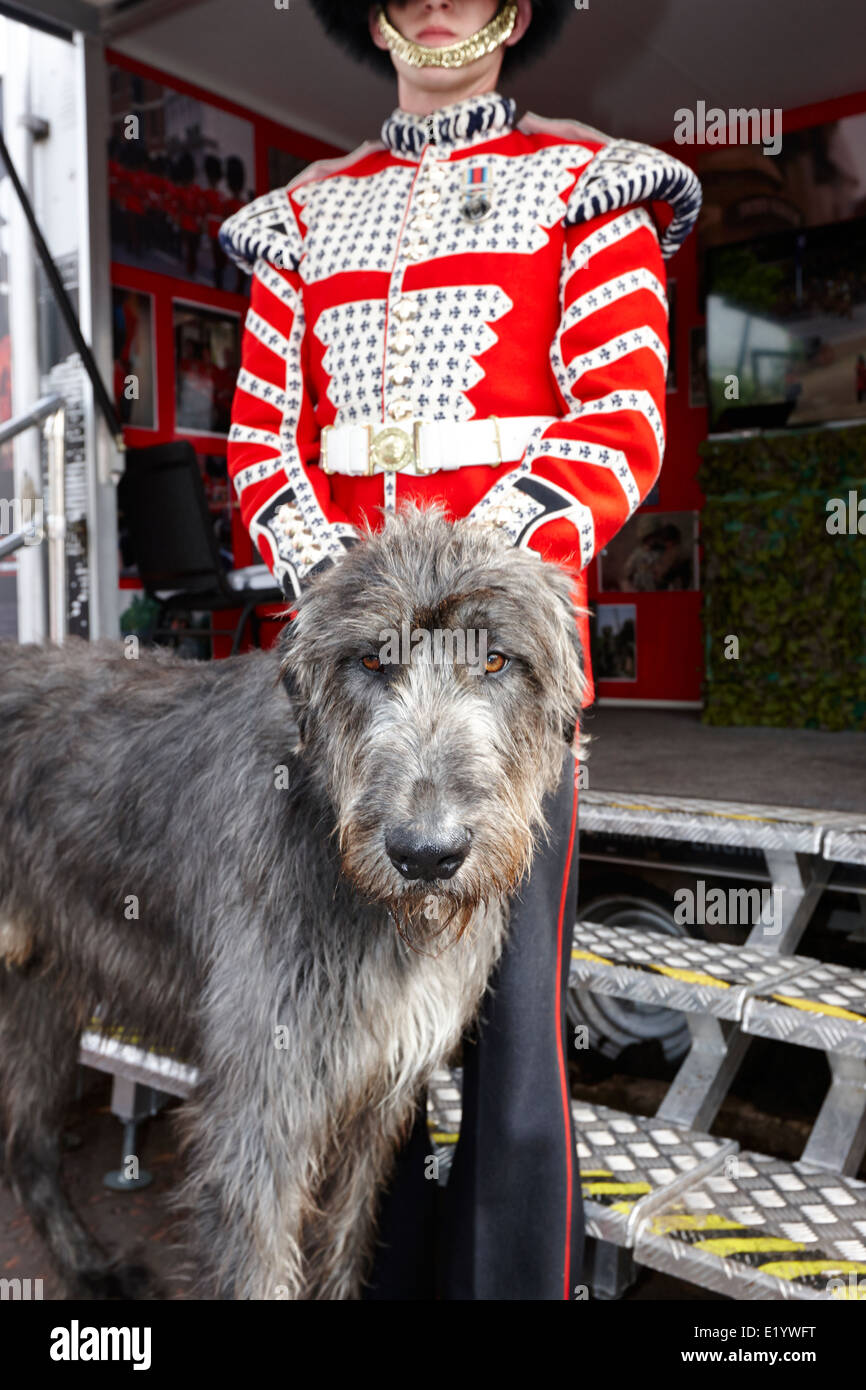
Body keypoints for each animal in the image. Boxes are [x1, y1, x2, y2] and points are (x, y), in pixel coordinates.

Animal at [0, 508, 586, 1301]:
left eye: (496, 661)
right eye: (369, 662)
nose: (426, 855)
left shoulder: (378, 1098)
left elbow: (343, 1240)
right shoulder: (260, 1112)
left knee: (27, 1142)